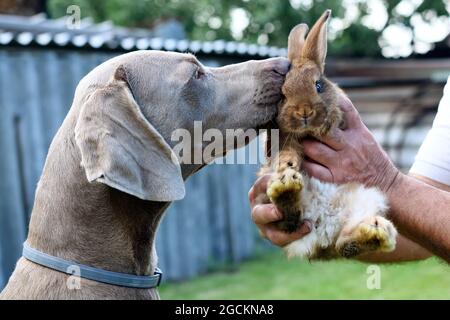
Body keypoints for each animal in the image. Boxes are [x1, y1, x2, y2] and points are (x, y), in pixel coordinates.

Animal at [260, 10, 398, 260]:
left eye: (318, 85)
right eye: (283, 94)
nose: (304, 111)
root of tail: (322, 224)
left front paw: (324, 125)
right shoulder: (284, 139)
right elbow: (287, 152)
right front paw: (287, 166)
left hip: (364, 202)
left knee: (343, 245)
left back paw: (375, 233)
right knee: (290, 221)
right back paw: (286, 187)